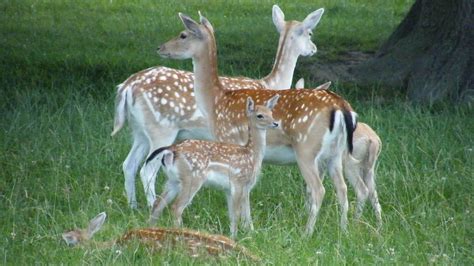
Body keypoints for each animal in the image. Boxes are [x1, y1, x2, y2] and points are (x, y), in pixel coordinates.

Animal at [111, 4, 326, 208]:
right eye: (310, 33)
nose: (314, 48)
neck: (271, 83)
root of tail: (127, 86)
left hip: (140, 131)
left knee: (129, 164)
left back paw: (133, 206)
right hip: (161, 129)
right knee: (147, 170)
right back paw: (151, 205)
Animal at [143, 96, 280, 239]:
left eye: (271, 113)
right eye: (260, 115)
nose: (275, 123)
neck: (252, 155)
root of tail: (172, 150)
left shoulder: (236, 188)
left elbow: (240, 214)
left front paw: (247, 234)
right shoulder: (238, 181)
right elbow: (237, 213)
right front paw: (236, 238)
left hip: (173, 180)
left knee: (158, 204)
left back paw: (151, 230)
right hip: (193, 177)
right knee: (176, 207)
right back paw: (180, 234)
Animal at [294, 77, 384, 227]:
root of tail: (373, 140)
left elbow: (311, 188)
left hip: (350, 166)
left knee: (362, 190)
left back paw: (354, 222)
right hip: (369, 169)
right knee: (374, 195)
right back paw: (379, 226)